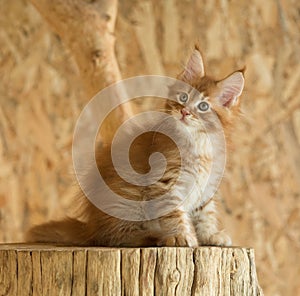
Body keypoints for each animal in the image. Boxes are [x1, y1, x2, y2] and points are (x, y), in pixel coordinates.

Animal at [26, 44, 244, 247]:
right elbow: (174, 213)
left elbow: (205, 213)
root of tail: (89, 228)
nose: (184, 112)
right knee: (116, 237)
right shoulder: (164, 182)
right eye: (183, 97)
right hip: (128, 200)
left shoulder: (206, 187)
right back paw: (154, 236)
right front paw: (181, 236)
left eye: (203, 106)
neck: (199, 143)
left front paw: (210, 235)